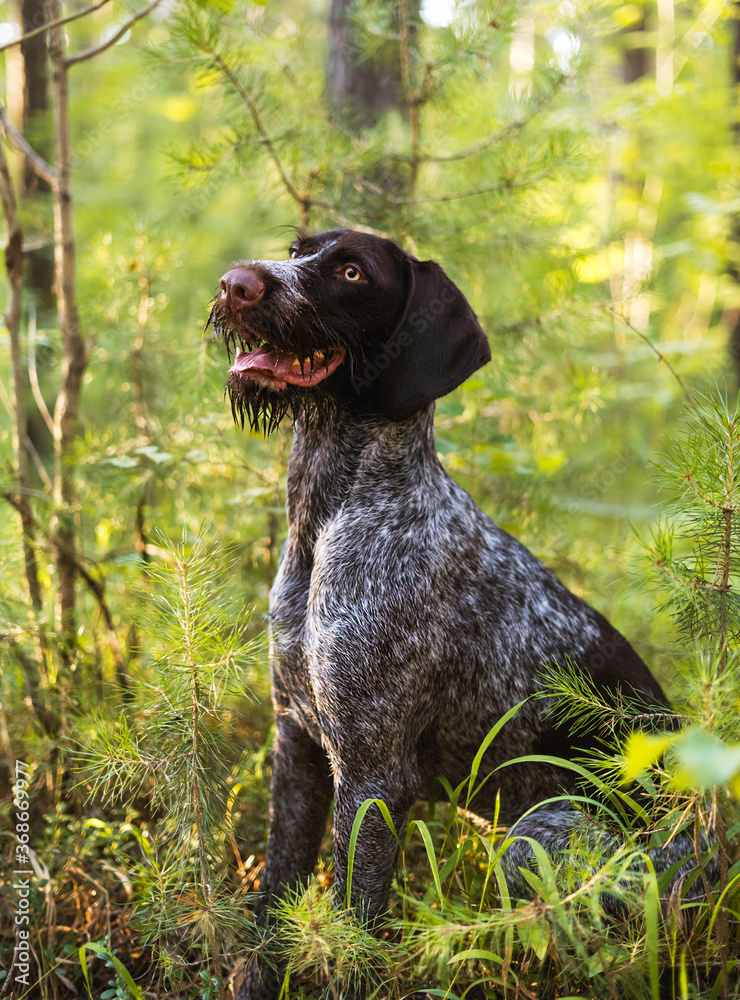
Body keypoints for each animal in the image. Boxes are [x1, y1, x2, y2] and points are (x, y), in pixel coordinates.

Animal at [211, 229, 692, 1000]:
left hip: (538, 839)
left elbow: (353, 929)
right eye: (297, 247)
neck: (333, 514)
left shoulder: (372, 779)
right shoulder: (299, 746)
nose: (237, 283)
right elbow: (276, 896)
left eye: (352, 272)